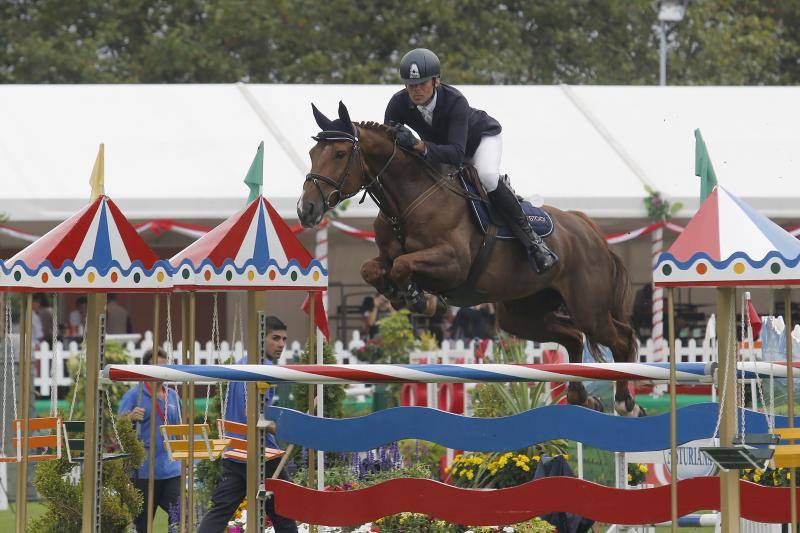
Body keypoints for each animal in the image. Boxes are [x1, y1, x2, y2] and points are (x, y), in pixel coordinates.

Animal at [298, 101, 643, 416]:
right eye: (313, 153)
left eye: (339, 154)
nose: (306, 210)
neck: (408, 200)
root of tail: (588, 229)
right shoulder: (386, 257)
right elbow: (372, 269)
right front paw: (403, 295)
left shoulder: (453, 264)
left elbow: (403, 265)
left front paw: (420, 299)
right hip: (522, 315)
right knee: (573, 337)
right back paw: (582, 397)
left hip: (588, 309)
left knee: (622, 338)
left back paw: (626, 402)